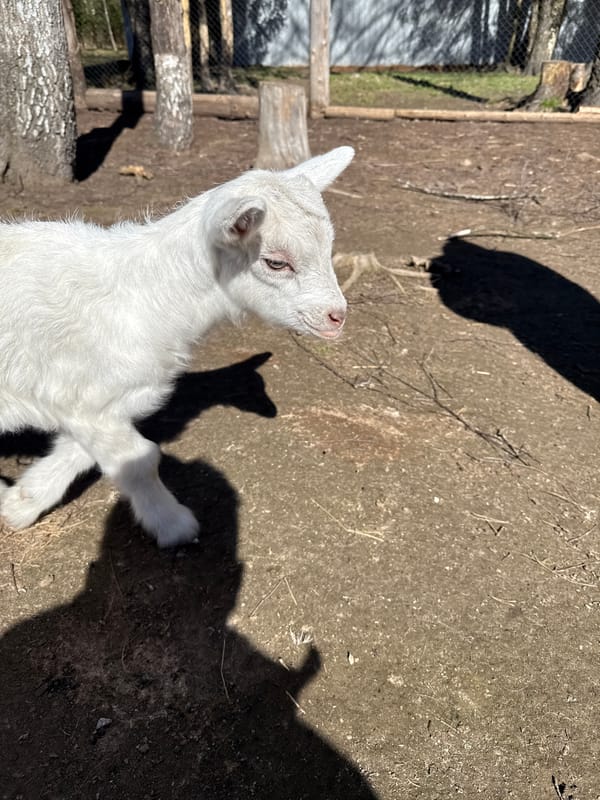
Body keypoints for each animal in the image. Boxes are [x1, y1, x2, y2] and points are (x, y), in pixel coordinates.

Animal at [0, 146, 354, 547]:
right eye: (276, 262)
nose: (337, 316)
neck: (149, 297)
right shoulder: (77, 391)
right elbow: (142, 460)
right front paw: (174, 526)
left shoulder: (94, 402)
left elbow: (80, 451)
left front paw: (19, 504)